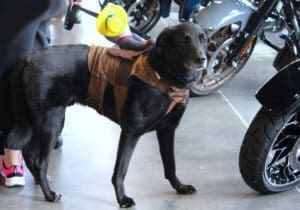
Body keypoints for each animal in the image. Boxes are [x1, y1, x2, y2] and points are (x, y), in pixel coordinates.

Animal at [5, 22, 207, 208]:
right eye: (184, 40)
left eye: (204, 39)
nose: (202, 59)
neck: (164, 74)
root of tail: (30, 56)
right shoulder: (131, 131)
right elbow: (120, 170)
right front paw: (122, 199)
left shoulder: (167, 130)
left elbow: (170, 165)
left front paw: (180, 187)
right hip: (52, 121)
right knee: (39, 160)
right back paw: (49, 194)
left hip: (36, 121)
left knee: (30, 154)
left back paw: (40, 182)